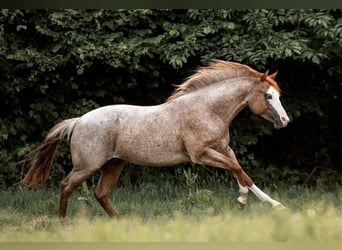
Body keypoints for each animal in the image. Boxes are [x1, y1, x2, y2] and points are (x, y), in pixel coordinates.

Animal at [20, 59, 288, 218]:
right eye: (267, 96)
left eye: (277, 95)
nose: (284, 121)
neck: (208, 109)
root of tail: (78, 121)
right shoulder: (201, 155)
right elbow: (237, 169)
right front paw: (243, 201)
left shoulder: (224, 149)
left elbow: (242, 172)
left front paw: (272, 204)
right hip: (87, 166)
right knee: (66, 185)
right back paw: (62, 223)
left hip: (114, 164)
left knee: (100, 193)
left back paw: (120, 224)